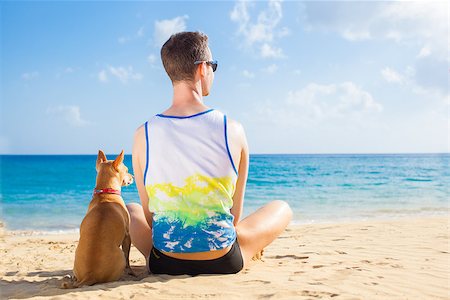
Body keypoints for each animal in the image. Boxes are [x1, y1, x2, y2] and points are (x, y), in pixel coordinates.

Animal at [62, 151, 134, 288]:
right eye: (127, 170)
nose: (132, 176)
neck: (106, 193)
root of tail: (90, 275)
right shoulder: (127, 235)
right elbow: (128, 257)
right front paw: (131, 271)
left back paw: (72, 278)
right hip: (120, 257)